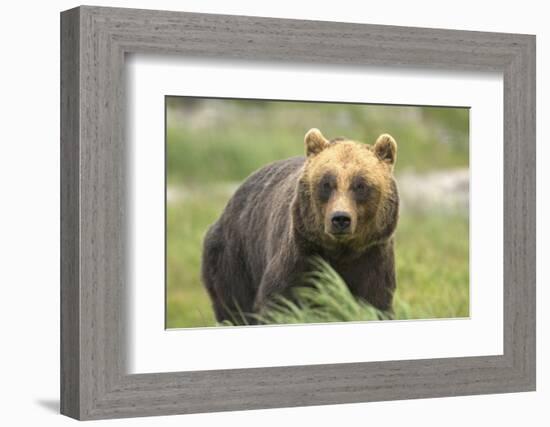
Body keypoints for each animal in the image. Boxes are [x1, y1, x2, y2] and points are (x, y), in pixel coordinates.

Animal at [201, 128, 398, 324]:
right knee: (234, 307)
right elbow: (279, 301)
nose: (340, 218)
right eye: (326, 183)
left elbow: (375, 302)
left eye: (360, 185)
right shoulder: (301, 253)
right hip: (235, 257)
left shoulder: (371, 257)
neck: (341, 251)